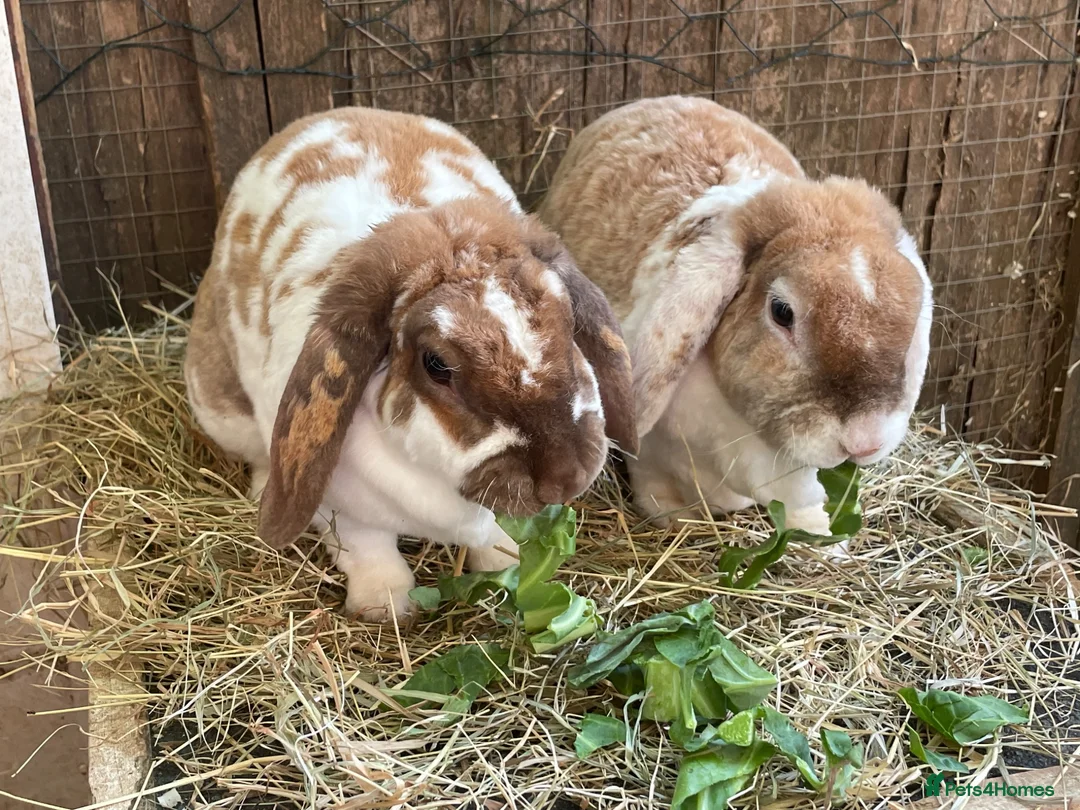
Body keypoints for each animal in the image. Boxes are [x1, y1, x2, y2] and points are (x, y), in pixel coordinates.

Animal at [185, 108, 636, 620]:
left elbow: (494, 540)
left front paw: (507, 566)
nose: (564, 478)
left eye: (568, 321)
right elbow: (369, 550)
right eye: (436, 363)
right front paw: (384, 607)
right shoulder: (345, 513)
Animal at [537, 96, 932, 535]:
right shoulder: (654, 451)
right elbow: (654, 477)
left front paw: (822, 534)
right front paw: (670, 515)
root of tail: (658, 101)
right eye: (782, 312)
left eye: (913, 310)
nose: (865, 441)